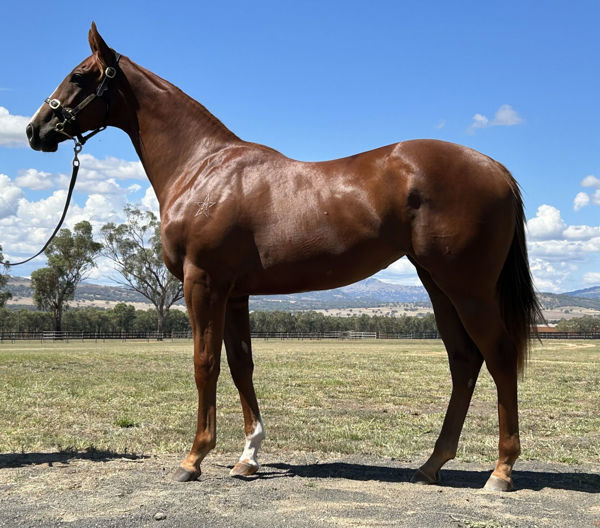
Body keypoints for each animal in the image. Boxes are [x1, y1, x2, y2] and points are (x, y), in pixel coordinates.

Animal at [27, 23, 544, 490]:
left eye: (78, 76)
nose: (35, 130)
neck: (202, 168)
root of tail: (495, 168)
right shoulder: (235, 293)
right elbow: (241, 365)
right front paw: (248, 457)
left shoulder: (203, 282)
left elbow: (204, 363)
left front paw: (194, 459)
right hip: (438, 284)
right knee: (464, 361)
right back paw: (432, 465)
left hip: (467, 287)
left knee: (497, 356)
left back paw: (500, 472)